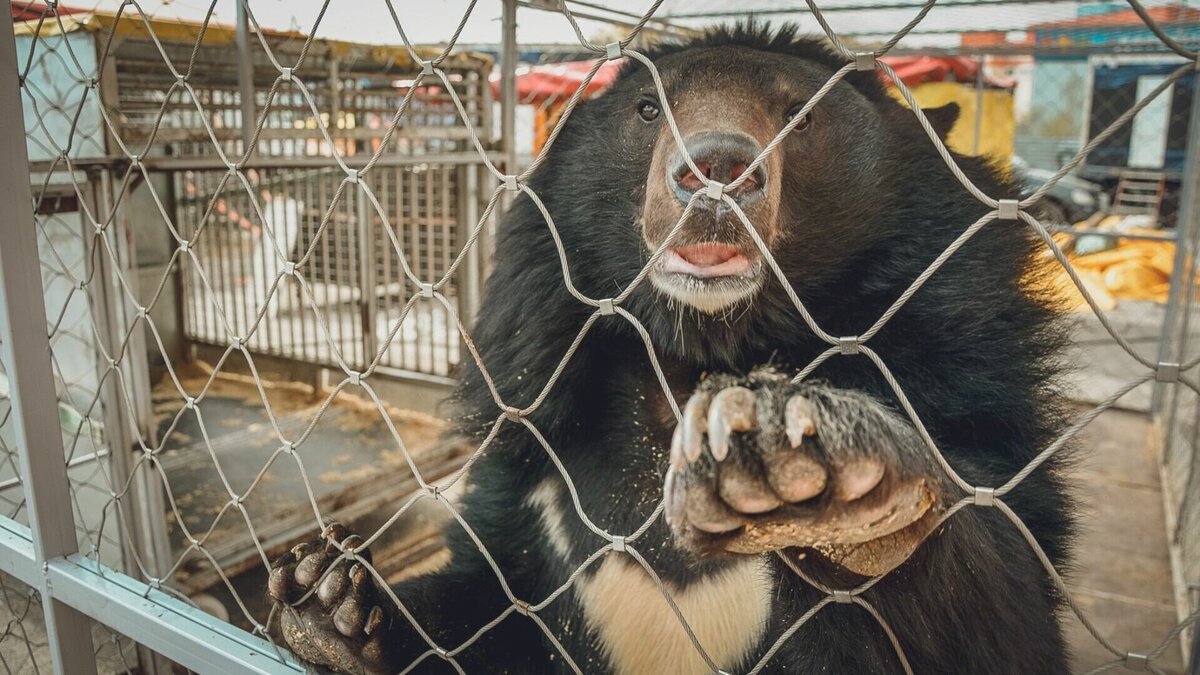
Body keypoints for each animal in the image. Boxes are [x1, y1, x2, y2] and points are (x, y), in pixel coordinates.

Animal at [267, 23, 1075, 667]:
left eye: (799, 114)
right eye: (650, 108)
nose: (716, 171)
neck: (698, 350)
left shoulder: (965, 353)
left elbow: (1007, 598)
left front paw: (810, 463)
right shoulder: (534, 434)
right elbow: (487, 593)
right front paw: (330, 602)